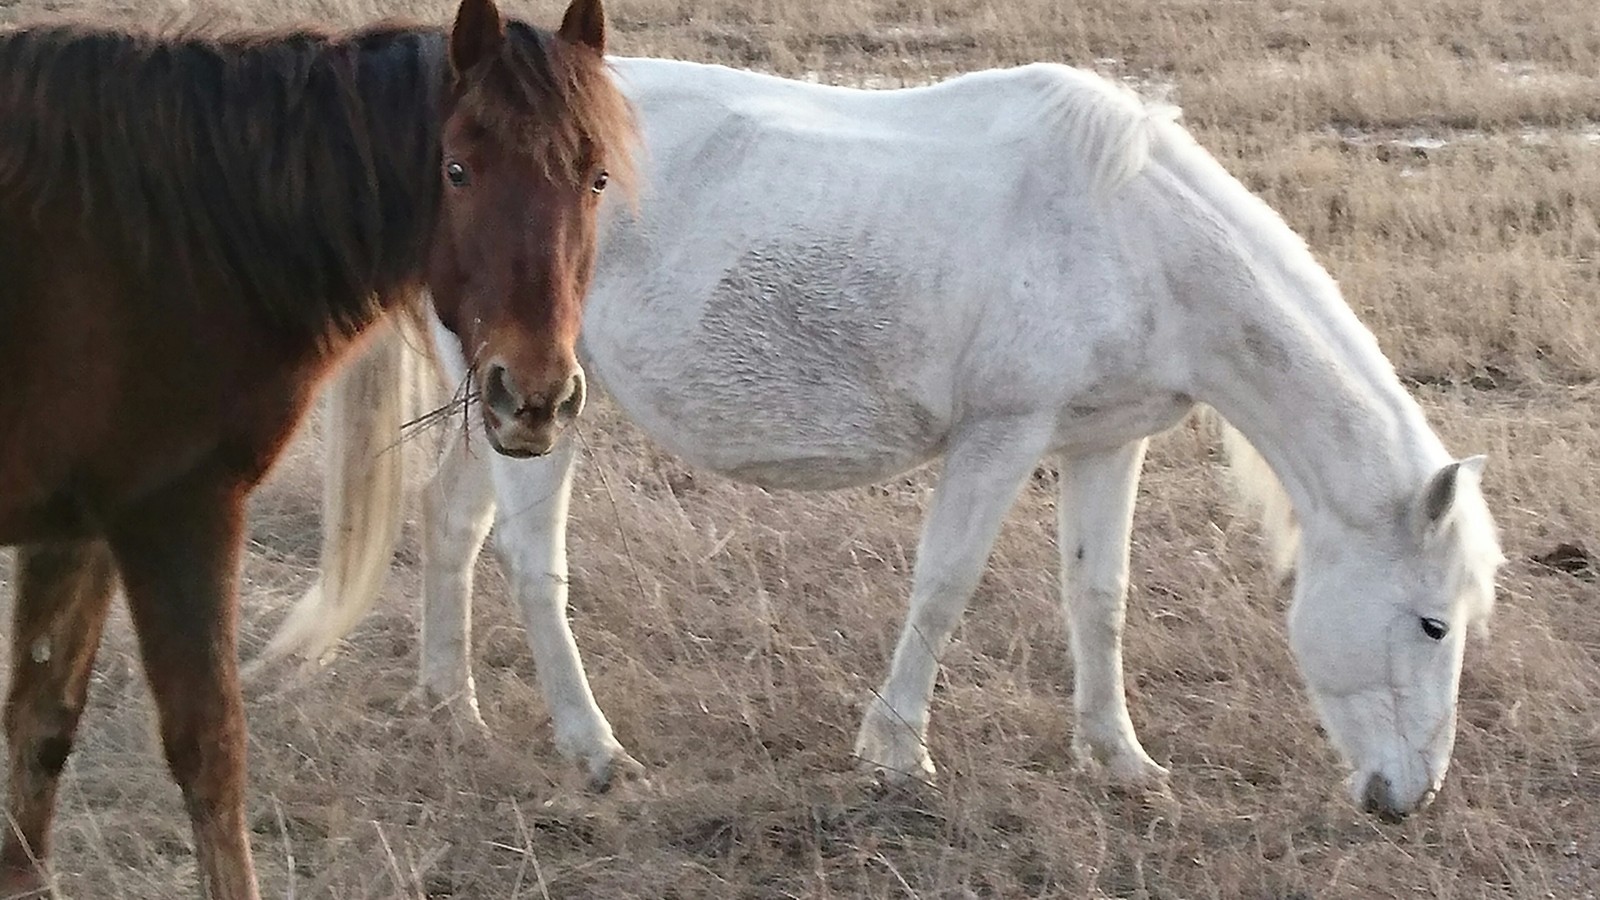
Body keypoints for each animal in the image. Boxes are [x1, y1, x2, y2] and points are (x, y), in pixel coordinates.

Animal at [0, 1, 633, 890]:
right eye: (458, 171)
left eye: (597, 178)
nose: (534, 396)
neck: (156, 239)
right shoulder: (177, 515)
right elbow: (211, 751)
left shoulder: (77, 528)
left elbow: (40, 731)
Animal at [256, 56, 1504, 813]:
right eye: (1431, 624)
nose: (1408, 800)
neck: (1129, 231)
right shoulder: (1001, 437)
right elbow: (943, 586)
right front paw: (897, 752)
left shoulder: (1105, 443)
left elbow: (1097, 598)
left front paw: (1119, 759)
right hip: (539, 408)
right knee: (529, 561)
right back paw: (593, 748)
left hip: (506, 400)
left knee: (450, 524)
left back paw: (449, 708)